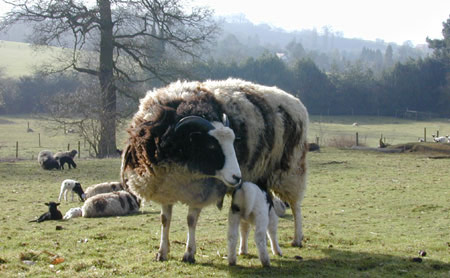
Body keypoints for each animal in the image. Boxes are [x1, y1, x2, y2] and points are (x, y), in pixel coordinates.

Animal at [121, 78, 308, 262]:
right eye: (211, 145)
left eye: (233, 142)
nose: (237, 177)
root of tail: (295, 101)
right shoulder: (166, 187)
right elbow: (165, 220)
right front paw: (162, 252)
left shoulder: (199, 190)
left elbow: (190, 220)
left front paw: (189, 253)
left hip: (291, 170)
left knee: (296, 206)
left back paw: (297, 238)